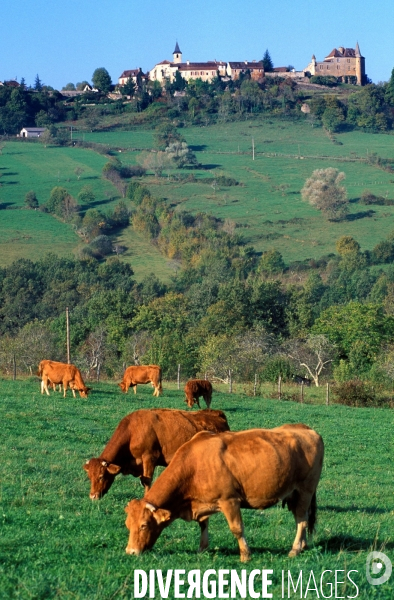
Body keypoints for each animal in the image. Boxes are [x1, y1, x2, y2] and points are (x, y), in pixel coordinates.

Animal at [83, 408, 231, 496]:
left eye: (101, 476)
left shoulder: (149, 458)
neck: (133, 431)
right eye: (90, 477)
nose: (93, 496)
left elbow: (147, 481)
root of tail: (216, 413)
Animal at [124, 424, 324, 560]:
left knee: (302, 519)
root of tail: (307, 429)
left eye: (144, 525)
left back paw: (295, 549)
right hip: (294, 495)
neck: (194, 464)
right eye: (127, 525)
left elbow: (237, 528)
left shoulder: (230, 500)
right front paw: (202, 548)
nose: (130, 551)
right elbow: (203, 524)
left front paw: (245, 555)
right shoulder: (202, 502)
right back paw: (303, 545)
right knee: (301, 518)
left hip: (305, 490)